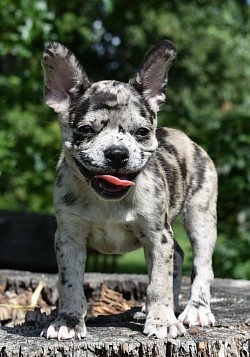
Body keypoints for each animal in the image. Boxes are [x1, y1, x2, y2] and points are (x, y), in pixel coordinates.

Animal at [40, 39, 217, 340]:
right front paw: (69, 321)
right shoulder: (68, 236)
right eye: (85, 129)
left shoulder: (158, 236)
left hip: (201, 217)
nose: (117, 153)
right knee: (178, 256)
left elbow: (158, 281)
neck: (108, 201)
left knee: (202, 265)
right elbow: (69, 282)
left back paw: (195, 310)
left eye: (142, 132)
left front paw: (163, 321)